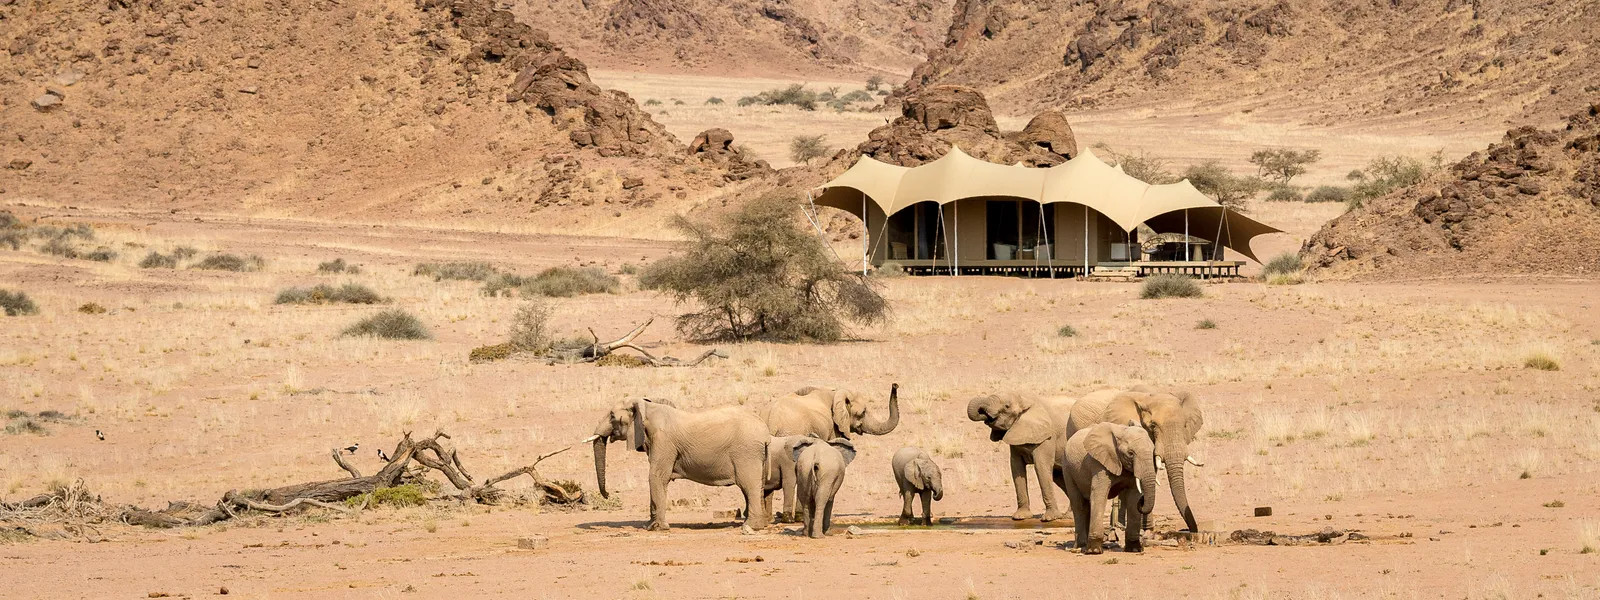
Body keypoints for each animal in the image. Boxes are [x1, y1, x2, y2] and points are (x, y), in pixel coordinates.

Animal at [598, 396, 777, 534]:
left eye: (612, 416)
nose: (607, 495)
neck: (648, 407)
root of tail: (765, 433)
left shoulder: (663, 441)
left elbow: (656, 476)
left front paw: (656, 528)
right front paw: (648, 526)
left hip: (747, 453)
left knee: (749, 486)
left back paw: (749, 527)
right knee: (756, 487)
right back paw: (758, 525)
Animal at [764, 385, 902, 521]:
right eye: (862, 412)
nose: (895, 385)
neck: (836, 393)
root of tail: (771, 418)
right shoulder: (833, 428)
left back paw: (770, 518)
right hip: (792, 431)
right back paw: (796, 518)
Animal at [1056, 422, 1158, 553]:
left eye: (1153, 452)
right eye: (1130, 453)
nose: (1143, 500)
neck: (1121, 432)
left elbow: (1133, 498)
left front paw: (1134, 549)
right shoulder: (1099, 463)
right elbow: (1099, 494)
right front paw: (1094, 551)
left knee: (1087, 504)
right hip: (1067, 469)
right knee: (1079, 504)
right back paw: (1081, 545)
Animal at [1068, 387, 1203, 534]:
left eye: (1184, 426)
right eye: (1153, 426)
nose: (1190, 531)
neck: (1148, 398)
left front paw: (1147, 529)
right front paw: (1144, 529)